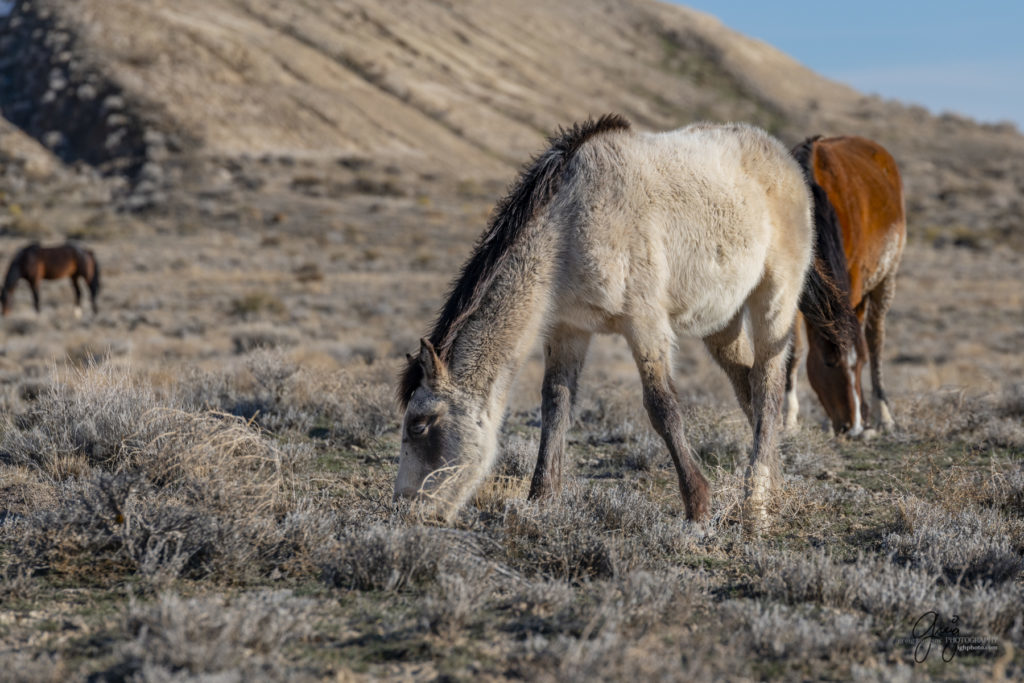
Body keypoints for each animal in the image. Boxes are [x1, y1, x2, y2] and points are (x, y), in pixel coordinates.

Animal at [393, 116, 823, 524]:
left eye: (419, 425)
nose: (405, 510)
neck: (570, 225)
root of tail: (782, 156)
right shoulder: (568, 330)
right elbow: (556, 404)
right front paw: (541, 498)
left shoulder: (645, 324)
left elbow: (662, 406)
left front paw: (698, 504)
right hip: (721, 320)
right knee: (746, 384)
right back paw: (775, 483)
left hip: (774, 299)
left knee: (767, 385)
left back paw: (757, 499)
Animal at [786, 137, 909, 438]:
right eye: (829, 362)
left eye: (860, 363)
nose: (853, 426)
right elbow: (794, 351)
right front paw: (788, 420)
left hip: (885, 280)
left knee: (876, 339)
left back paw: (883, 414)